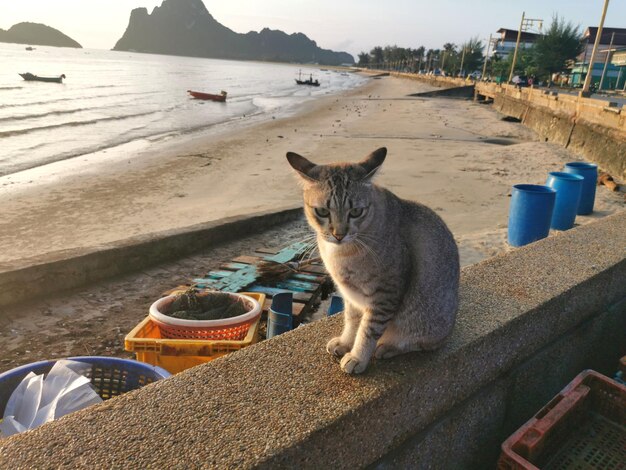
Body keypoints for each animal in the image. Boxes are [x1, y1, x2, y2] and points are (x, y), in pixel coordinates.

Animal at [286, 147, 456, 374]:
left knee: (417, 342)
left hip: (426, 323)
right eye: (322, 211)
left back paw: (388, 347)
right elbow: (351, 322)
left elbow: (367, 331)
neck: (342, 254)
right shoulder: (350, 295)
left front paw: (357, 357)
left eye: (356, 212)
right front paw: (345, 343)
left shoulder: (384, 295)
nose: (339, 234)